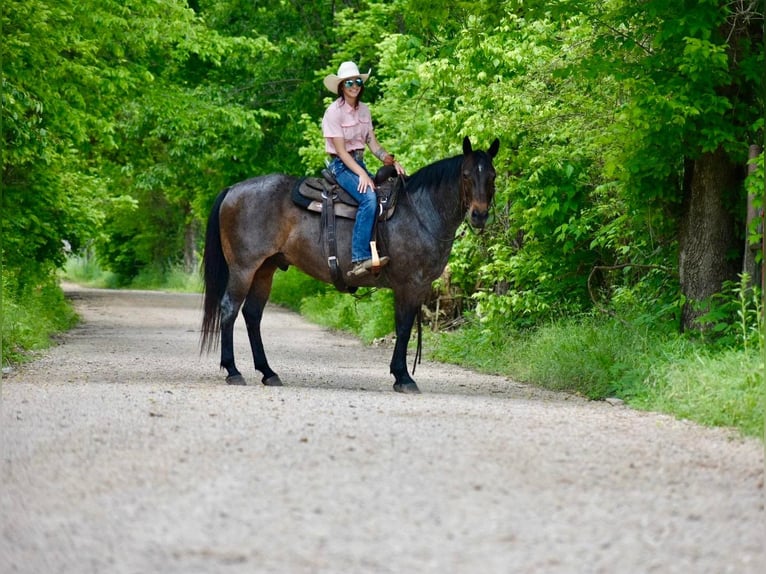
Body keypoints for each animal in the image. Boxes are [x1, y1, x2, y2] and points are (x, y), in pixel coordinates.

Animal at [201, 137, 500, 394]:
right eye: (466, 175)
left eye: (492, 176)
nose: (479, 215)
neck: (419, 212)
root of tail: (233, 190)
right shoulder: (409, 284)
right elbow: (403, 328)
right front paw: (403, 377)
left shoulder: (419, 287)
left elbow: (404, 328)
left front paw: (400, 374)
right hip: (243, 268)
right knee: (229, 309)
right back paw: (233, 370)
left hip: (265, 269)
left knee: (252, 314)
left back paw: (268, 372)